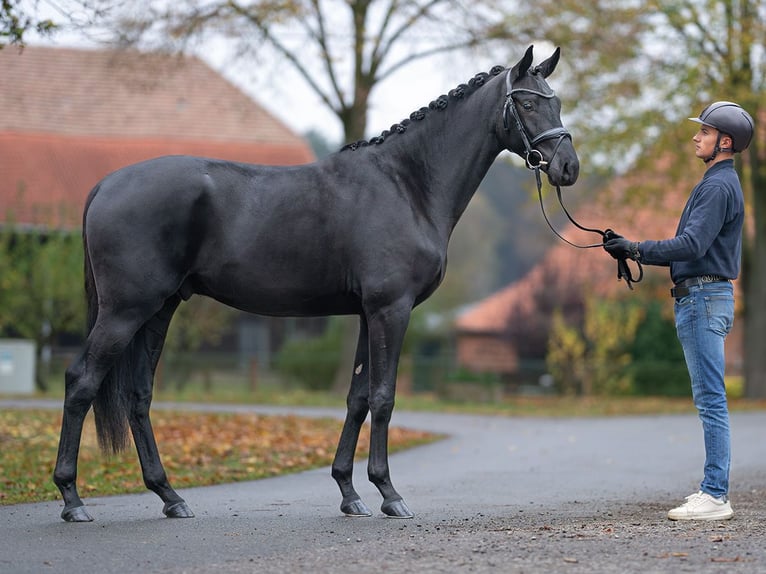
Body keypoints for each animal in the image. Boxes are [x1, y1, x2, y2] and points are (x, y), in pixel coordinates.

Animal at [54, 46, 580, 520]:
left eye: (555, 101)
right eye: (527, 103)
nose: (568, 168)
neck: (405, 184)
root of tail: (106, 185)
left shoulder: (369, 314)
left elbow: (357, 398)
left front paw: (349, 492)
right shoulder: (391, 309)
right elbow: (384, 397)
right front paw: (389, 494)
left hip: (159, 310)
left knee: (138, 396)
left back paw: (170, 496)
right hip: (125, 311)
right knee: (82, 382)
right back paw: (72, 498)